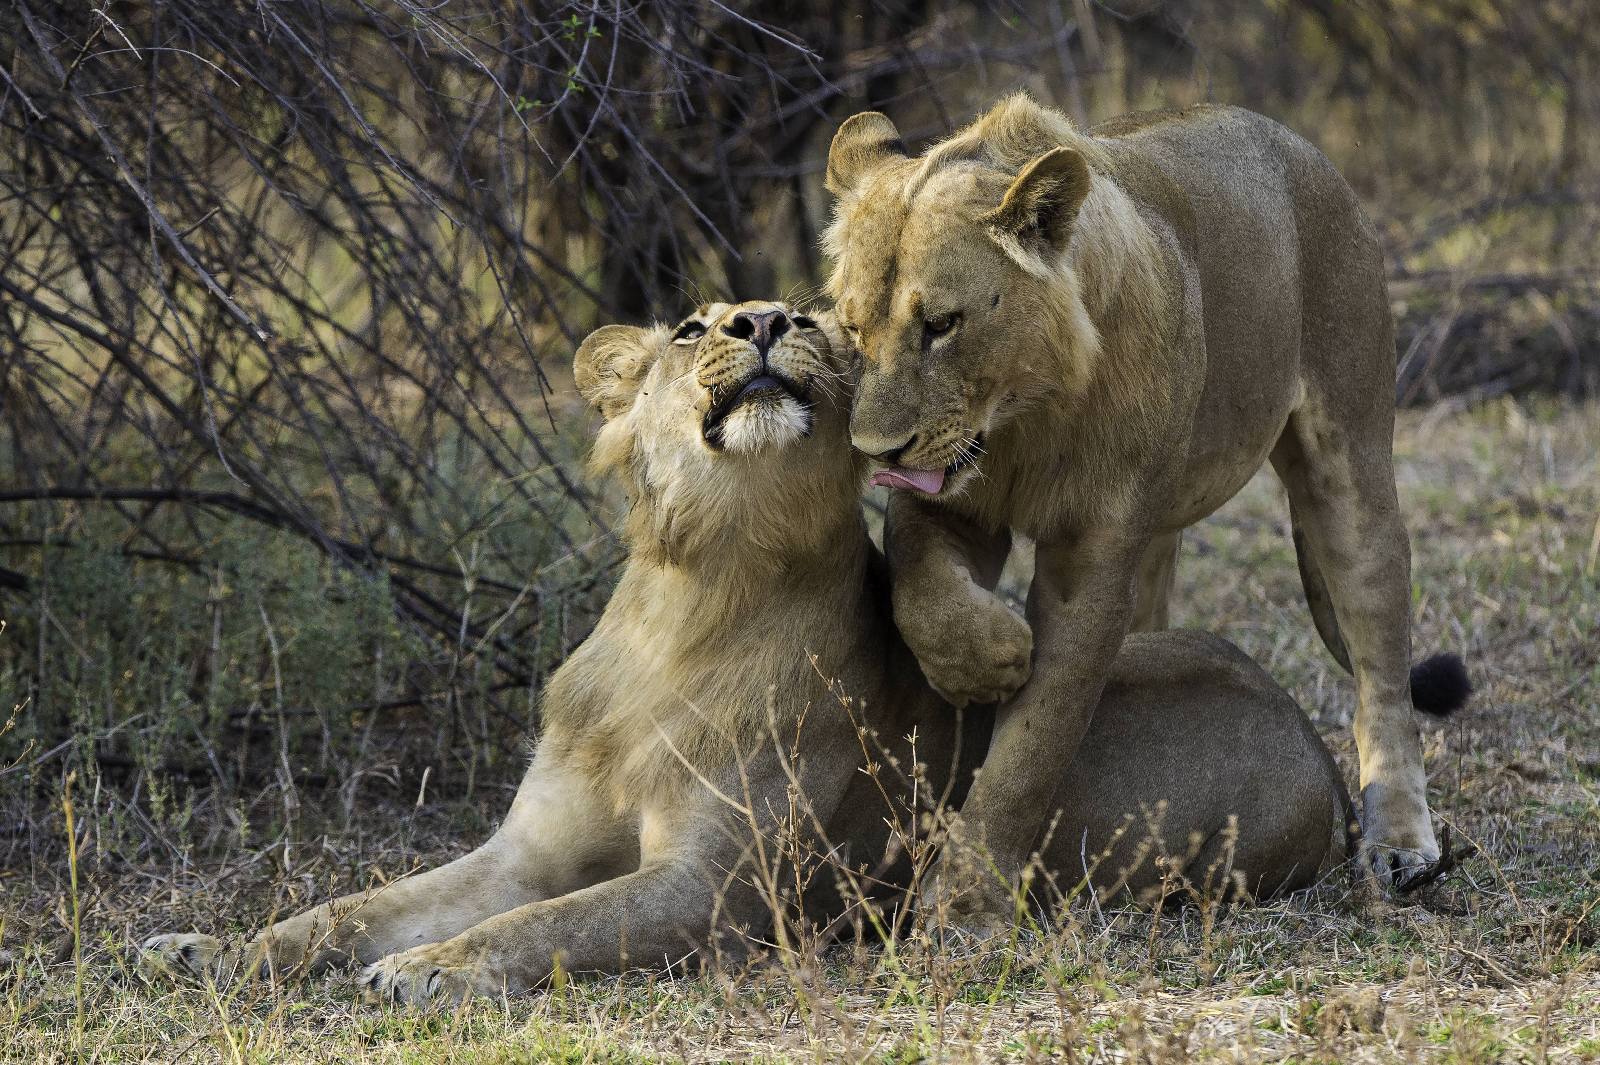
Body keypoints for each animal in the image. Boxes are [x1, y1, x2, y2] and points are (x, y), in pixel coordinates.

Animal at [143, 300, 1358, 1005]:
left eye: (813, 315)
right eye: (692, 327)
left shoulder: (718, 891)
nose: (766, 320)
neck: (698, 594)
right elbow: (350, 908)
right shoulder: (524, 850)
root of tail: (1312, 736)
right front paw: (211, 953)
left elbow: (548, 925)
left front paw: (427, 970)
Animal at [823, 94, 1471, 917]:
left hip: (1350, 456)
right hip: (1165, 520)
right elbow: (922, 593)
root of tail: (1290, 139)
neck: (1025, 420)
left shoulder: (1093, 555)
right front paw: (988, 661)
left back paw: (1400, 845)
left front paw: (965, 903)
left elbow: (1036, 743)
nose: (877, 450)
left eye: (941, 324)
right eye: (851, 327)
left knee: (1381, 662)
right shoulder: (949, 502)